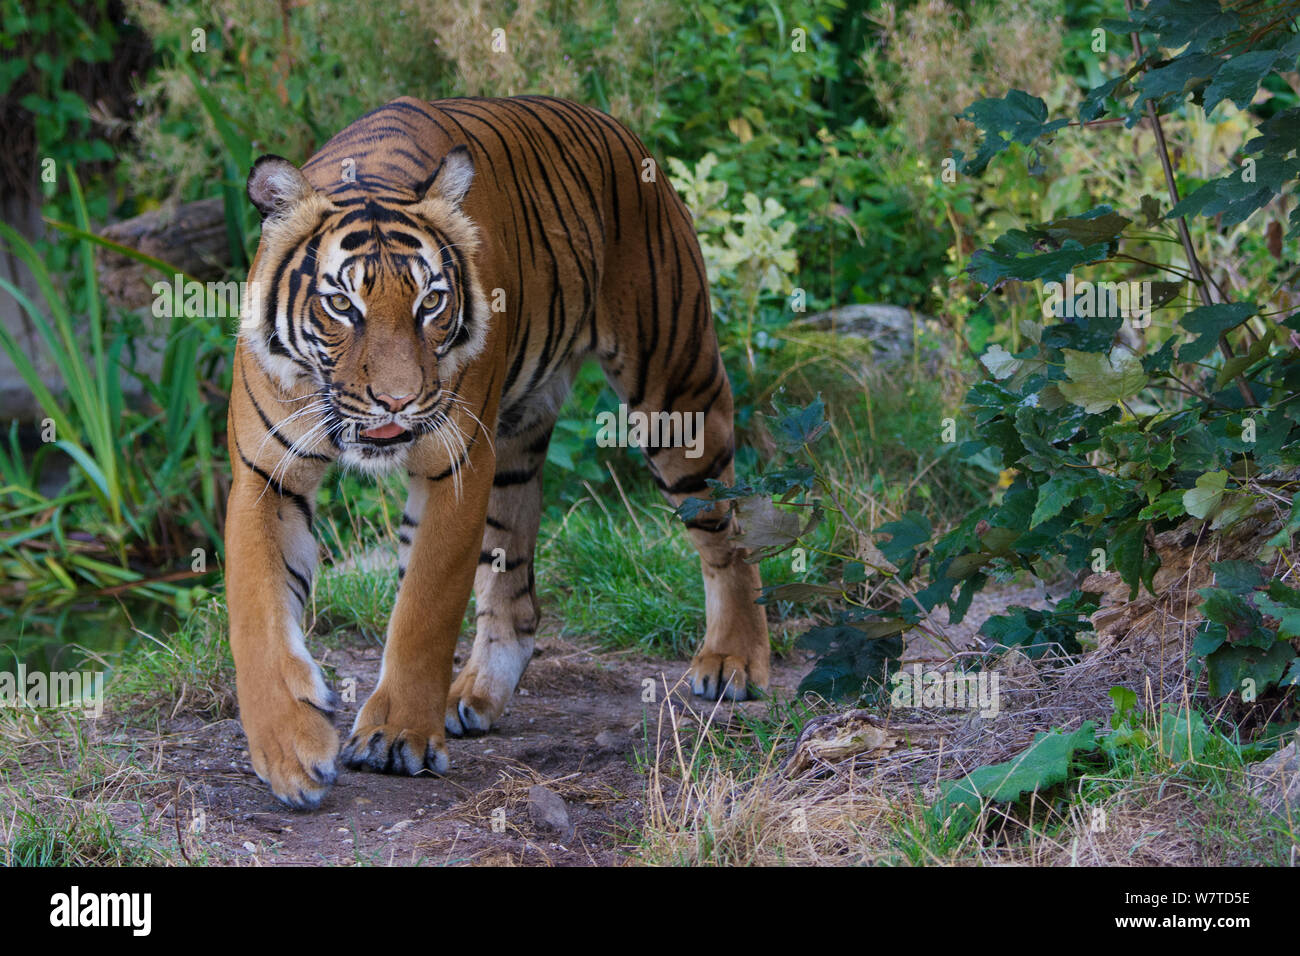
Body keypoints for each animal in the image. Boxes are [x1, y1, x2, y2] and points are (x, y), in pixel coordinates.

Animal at [227, 95, 764, 806]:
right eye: (341, 304)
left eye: (431, 301)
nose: (398, 401)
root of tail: (616, 127)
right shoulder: (265, 474)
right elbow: (259, 612)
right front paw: (290, 750)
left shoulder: (457, 468)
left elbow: (425, 609)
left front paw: (397, 736)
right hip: (515, 446)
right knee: (517, 589)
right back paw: (475, 694)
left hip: (676, 395)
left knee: (727, 528)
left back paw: (735, 660)